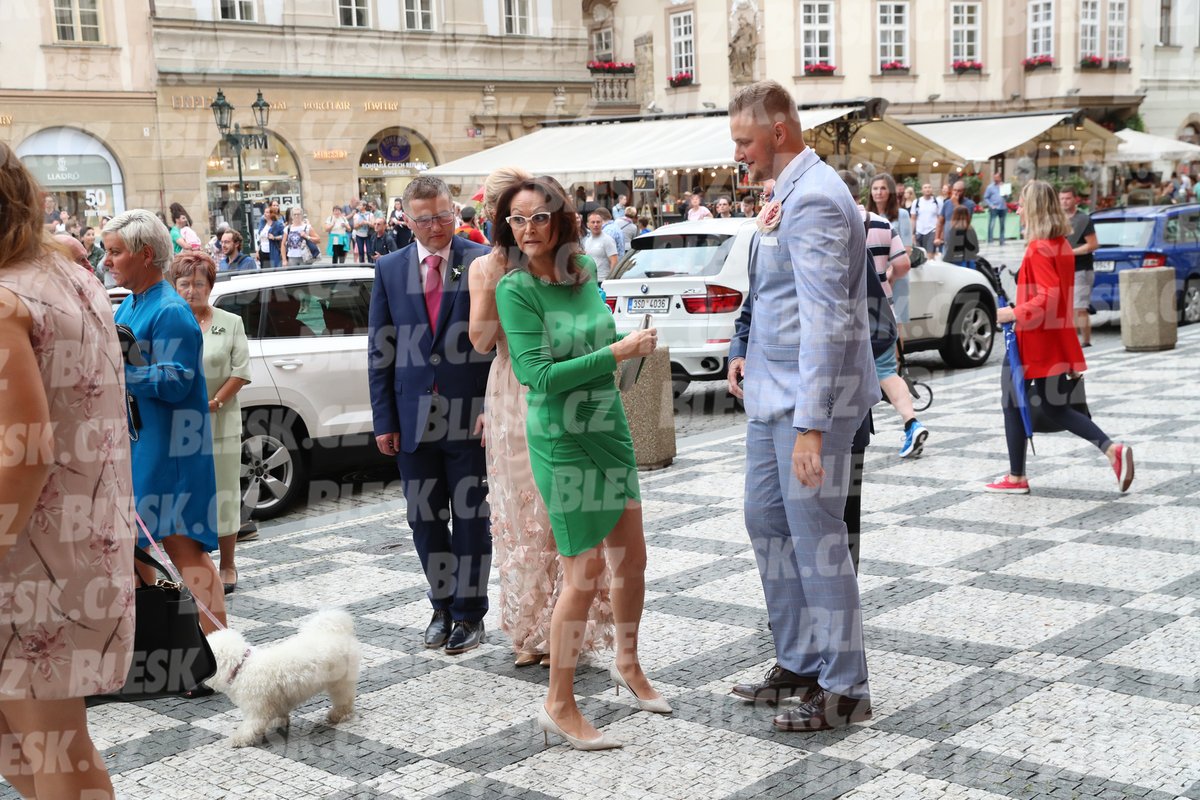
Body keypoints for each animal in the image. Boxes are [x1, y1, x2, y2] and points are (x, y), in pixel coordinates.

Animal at [205, 609, 360, 748]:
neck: (241, 667)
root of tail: (336, 632)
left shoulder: (256, 708)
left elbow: (250, 726)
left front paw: (239, 739)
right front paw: (280, 721)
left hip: (339, 681)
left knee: (344, 699)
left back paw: (338, 714)